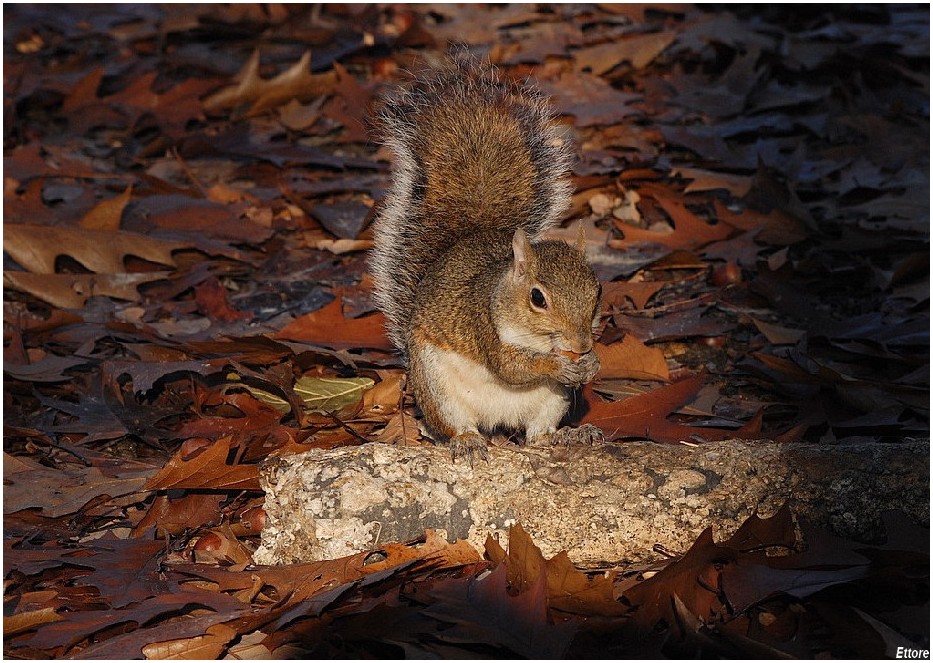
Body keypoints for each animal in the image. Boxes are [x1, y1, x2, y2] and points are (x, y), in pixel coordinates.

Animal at [368, 55, 600, 462]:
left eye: (597, 293)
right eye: (537, 298)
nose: (579, 346)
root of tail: (497, 422)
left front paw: (592, 364)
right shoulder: (483, 326)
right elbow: (509, 367)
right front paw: (557, 364)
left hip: (549, 403)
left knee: (538, 436)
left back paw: (569, 436)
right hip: (437, 389)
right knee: (456, 426)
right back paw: (468, 442)